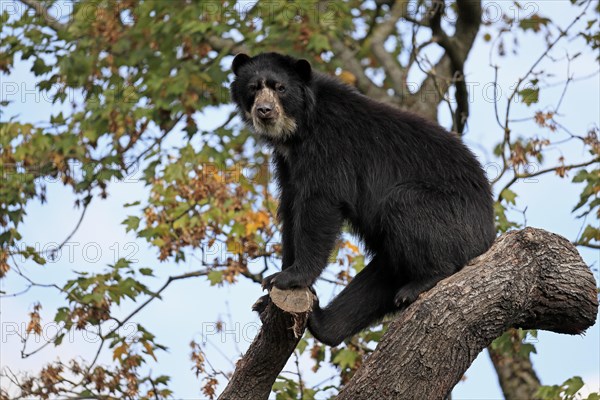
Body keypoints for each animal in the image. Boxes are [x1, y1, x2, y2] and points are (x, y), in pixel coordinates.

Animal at [227, 52, 494, 346]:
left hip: (449, 215)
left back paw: (423, 282)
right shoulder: (288, 164)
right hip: (395, 253)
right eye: (253, 88)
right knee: (375, 285)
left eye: (280, 88)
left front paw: (289, 277)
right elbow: (290, 208)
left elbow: (320, 203)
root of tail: (489, 232)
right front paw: (269, 292)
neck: (298, 131)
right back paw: (322, 322)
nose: (264, 110)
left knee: (406, 207)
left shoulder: (331, 146)